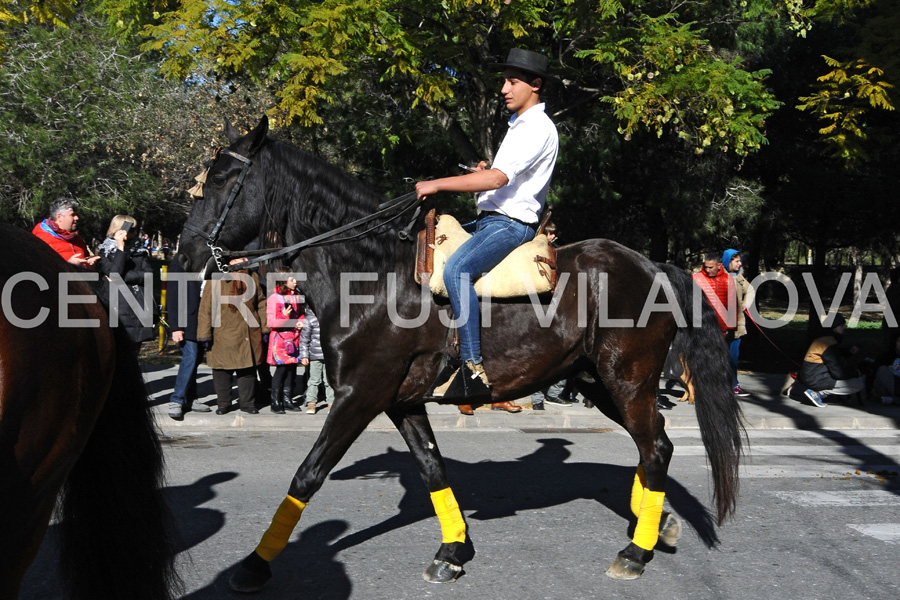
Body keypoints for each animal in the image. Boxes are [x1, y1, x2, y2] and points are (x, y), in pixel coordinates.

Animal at [178, 115, 744, 592]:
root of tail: (654, 266)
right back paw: (657, 523)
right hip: (597, 382)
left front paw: (255, 564)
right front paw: (452, 551)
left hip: (627, 380)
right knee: (654, 448)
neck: (371, 278)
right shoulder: (401, 401)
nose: (184, 253)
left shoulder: (359, 396)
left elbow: (307, 475)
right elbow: (433, 470)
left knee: (656, 448)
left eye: (223, 181)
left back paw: (635, 550)